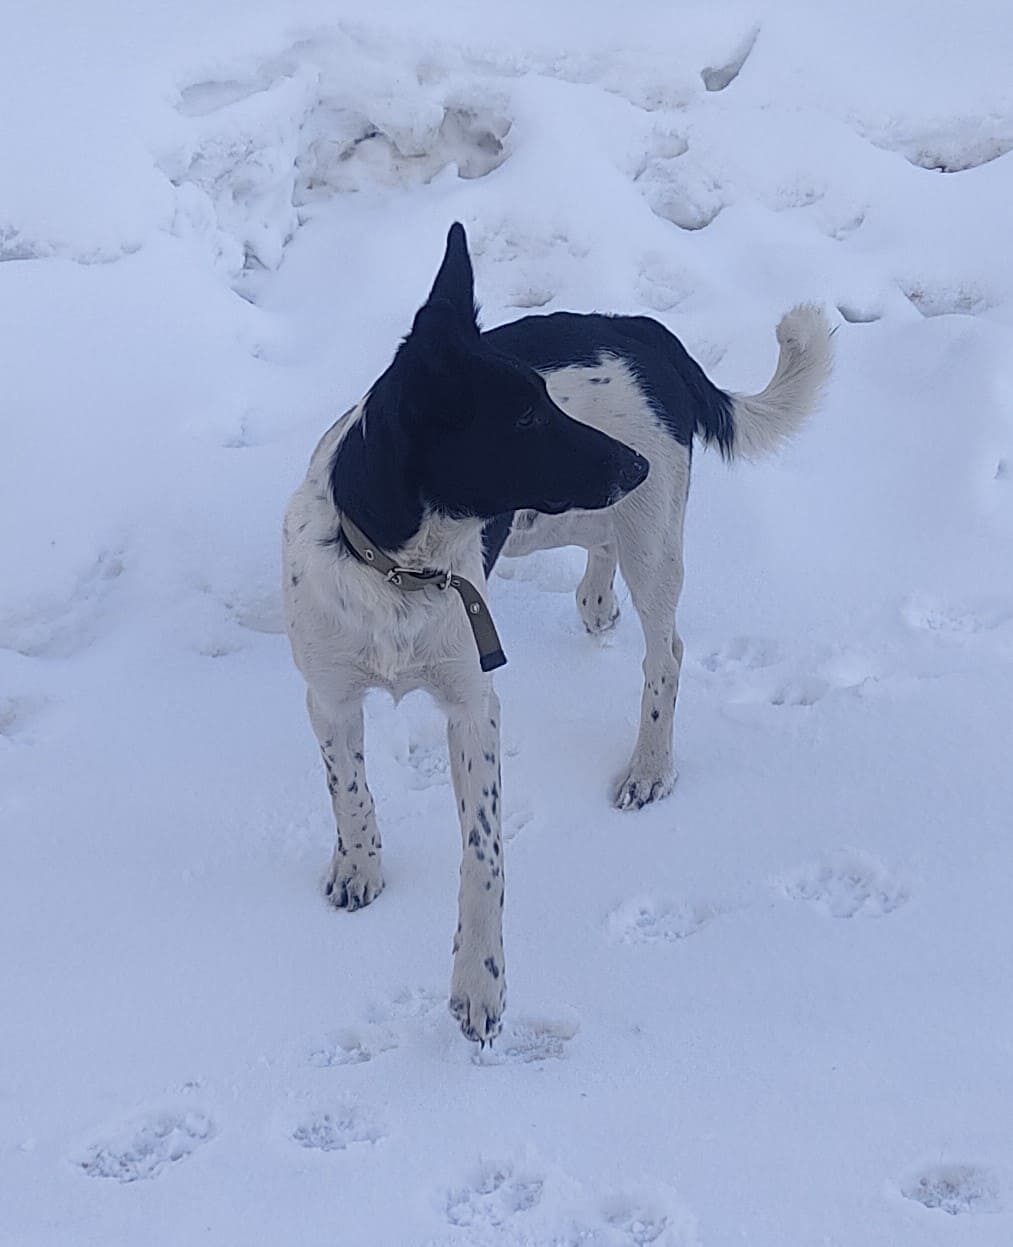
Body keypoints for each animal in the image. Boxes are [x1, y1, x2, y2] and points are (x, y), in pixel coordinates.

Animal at [283, 222, 833, 1043]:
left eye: (546, 402)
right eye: (525, 418)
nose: (634, 464)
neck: (400, 571)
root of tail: (638, 328)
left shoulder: (473, 705)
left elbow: (482, 854)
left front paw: (479, 981)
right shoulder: (329, 698)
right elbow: (349, 791)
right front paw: (359, 868)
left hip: (651, 537)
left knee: (666, 653)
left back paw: (649, 766)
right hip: (561, 518)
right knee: (599, 546)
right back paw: (597, 598)